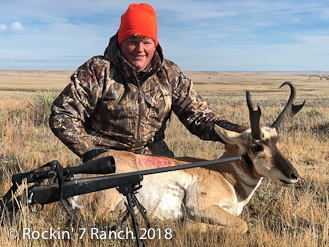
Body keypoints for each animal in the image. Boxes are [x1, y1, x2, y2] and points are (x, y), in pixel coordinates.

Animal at [78, 81, 304, 233]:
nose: (294, 175)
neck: (224, 174)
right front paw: (186, 223)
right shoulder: (202, 207)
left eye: (277, 143)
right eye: (257, 147)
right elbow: (242, 225)